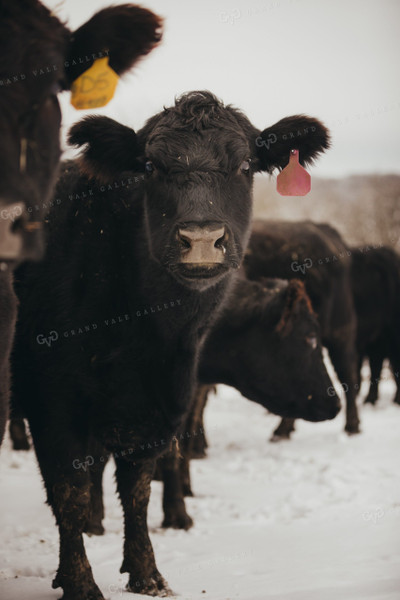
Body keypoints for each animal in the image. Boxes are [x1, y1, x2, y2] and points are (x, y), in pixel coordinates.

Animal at [10, 91, 330, 596]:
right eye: (150, 166)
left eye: (244, 165)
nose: (201, 239)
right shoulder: (54, 404)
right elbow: (70, 493)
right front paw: (80, 580)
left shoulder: (164, 404)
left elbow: (138, 488)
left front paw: (147, 573)